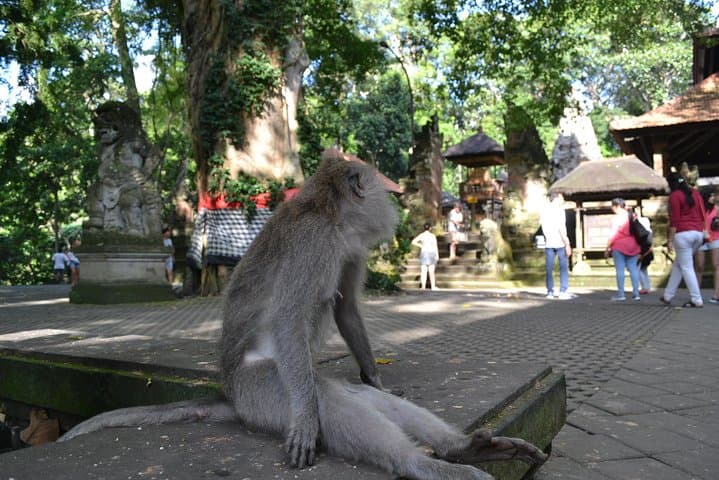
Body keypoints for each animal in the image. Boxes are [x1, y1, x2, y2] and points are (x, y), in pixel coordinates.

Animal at [59, 154, 548, 480]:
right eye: (385, 187)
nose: (398, 203)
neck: (329, 215)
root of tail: (230, 394)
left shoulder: (349, 247)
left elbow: (346, 309)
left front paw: (375, 375)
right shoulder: (316, 244)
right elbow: (288, 319)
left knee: (358, 398)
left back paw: (463, 449)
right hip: (266, 390)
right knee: (324, 403)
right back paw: (421, 464)